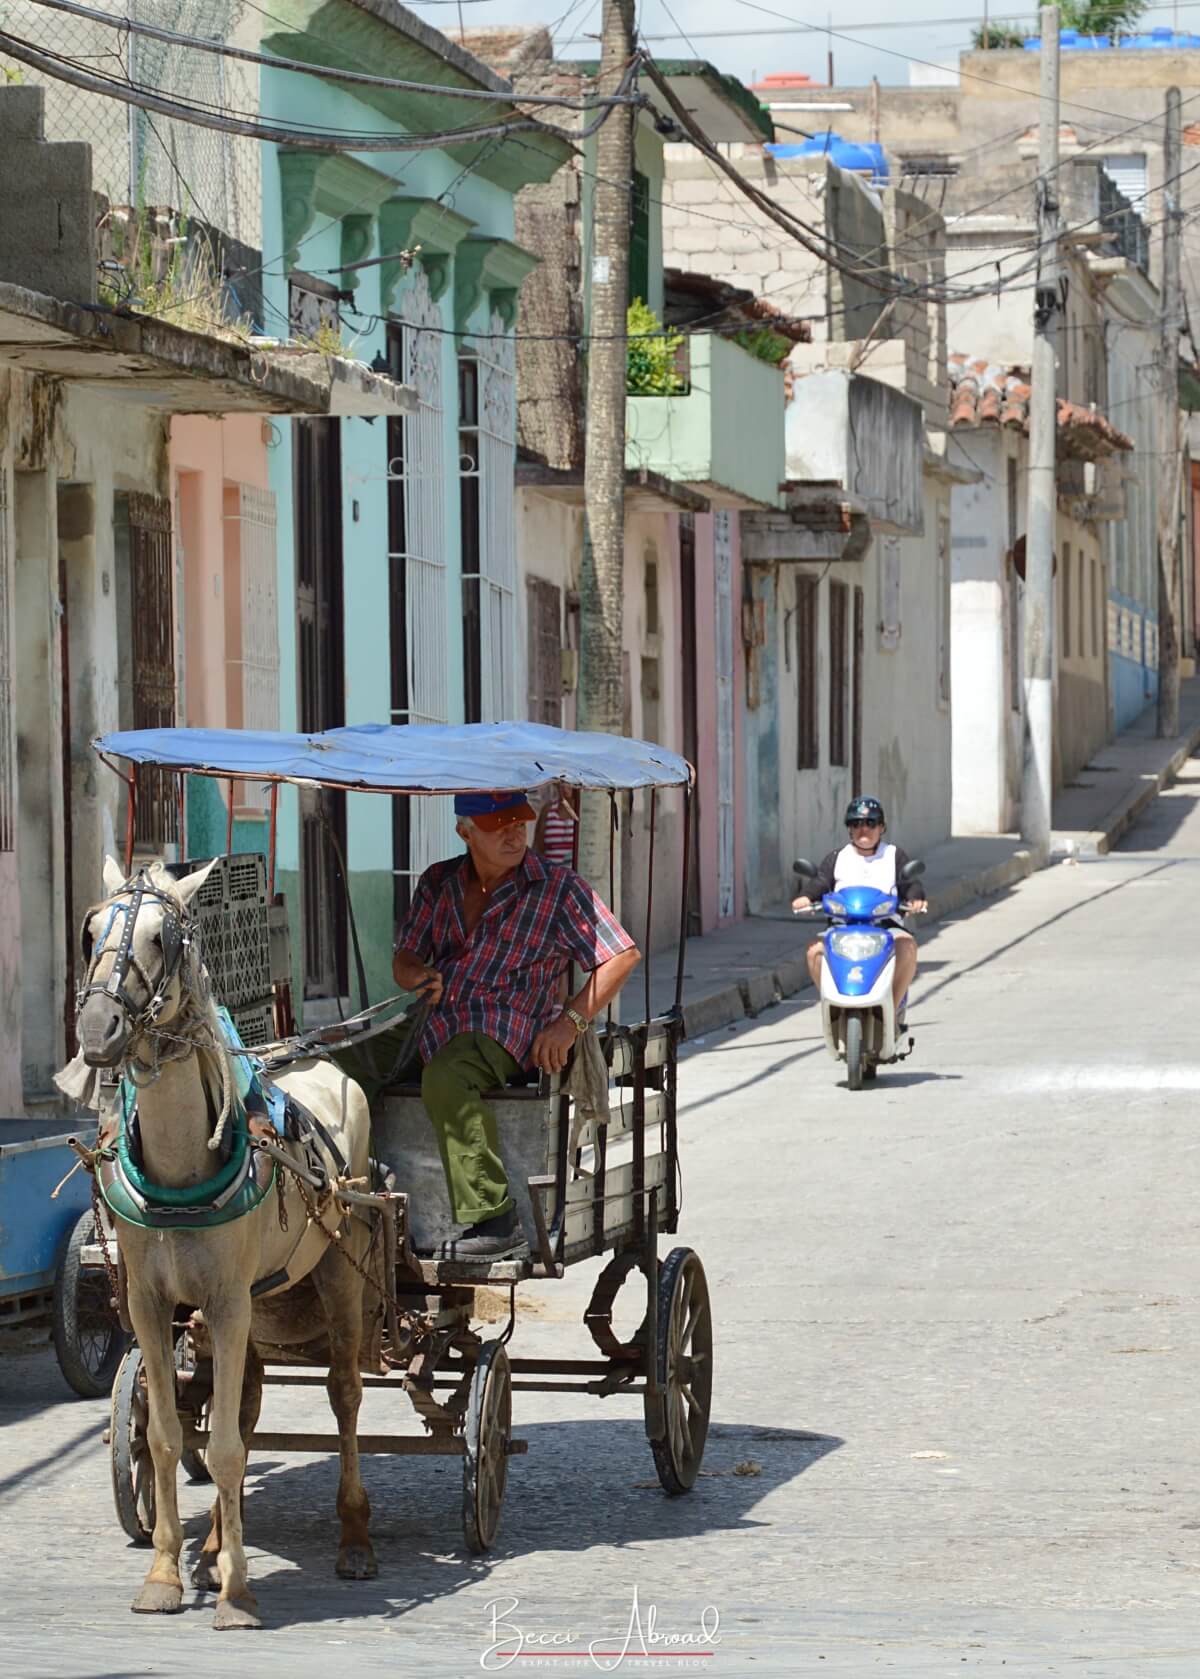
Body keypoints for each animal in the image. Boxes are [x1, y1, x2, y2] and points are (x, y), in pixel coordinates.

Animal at [65, 852, 375, 1625]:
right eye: (90, 930)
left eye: (163, 938)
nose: (98, 1027)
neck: (180, 1169)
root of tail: (313, 1056)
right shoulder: (152, 1304)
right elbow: (170, 1434)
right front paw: (167, 1574)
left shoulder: (230, 1301)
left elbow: (231, 1449)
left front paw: (237, 1591)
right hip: (253, 1303)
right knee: (250, 1402)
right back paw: (207, 1549)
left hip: (337, 1271)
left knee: (344, 1392)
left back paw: (354, 1537)